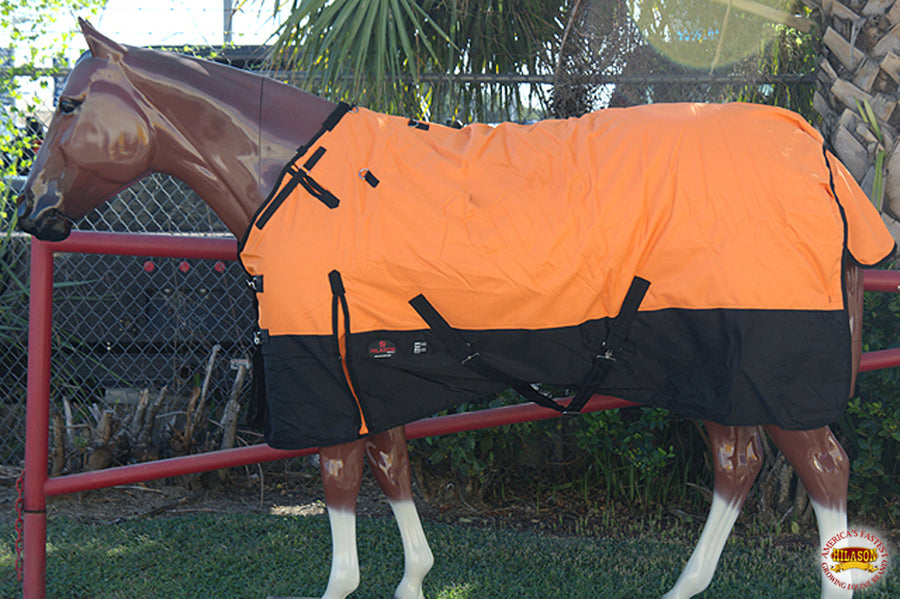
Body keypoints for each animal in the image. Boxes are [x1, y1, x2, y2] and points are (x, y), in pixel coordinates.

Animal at [16, 19, 886, 599]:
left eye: (71, 103)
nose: (31, 210)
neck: (298, 177)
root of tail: (818, 156)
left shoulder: (325, 364)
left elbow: (339, 476)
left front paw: (348, 582)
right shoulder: (369, 360)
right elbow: (390, 464)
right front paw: (414, 577)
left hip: (768, 362)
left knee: (823, 466)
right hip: (708, 369)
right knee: (738, 462)